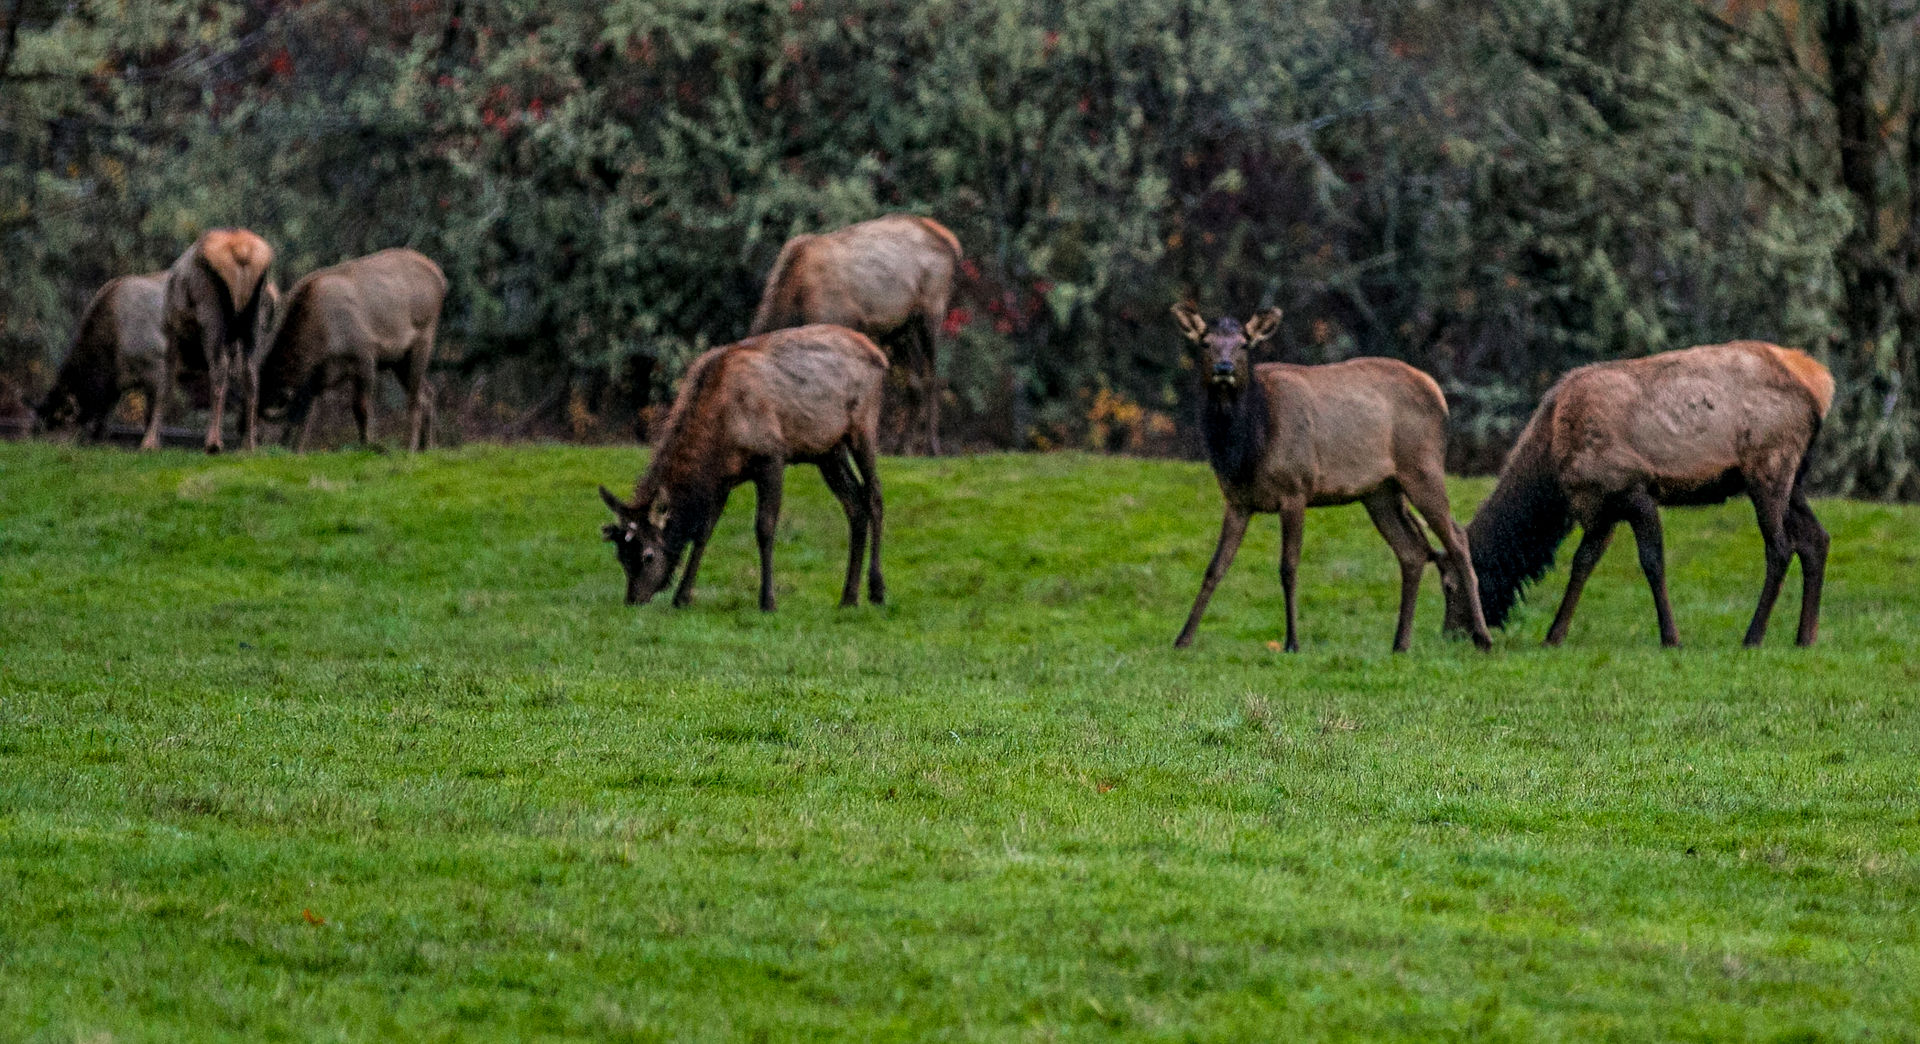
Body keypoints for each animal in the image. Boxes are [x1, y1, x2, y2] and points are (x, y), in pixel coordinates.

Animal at [254, 248, 446, 452]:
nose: (257, 442)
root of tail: (441, 279)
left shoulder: (365, 356)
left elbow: (360, 408)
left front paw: (368, 443)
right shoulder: (317, 379)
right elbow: (307, 418)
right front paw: (298, 451)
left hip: (422, 342)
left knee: (415, 399)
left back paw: (411, 447)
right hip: (399, 362)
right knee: (428, 392)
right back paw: (429, 446)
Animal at [598, 324, 888, 612]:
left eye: (647, 555)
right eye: (620, 556)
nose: (633, 599)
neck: (720, 435)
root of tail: (879, 354)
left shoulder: (772, 457)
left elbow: (765, 528)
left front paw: (768, 600)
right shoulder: (722, 479)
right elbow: (703, 532)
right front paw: (682, 597)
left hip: (863, 426)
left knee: (874, 496)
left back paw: (877, 590)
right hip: (828, 451)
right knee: (855, 506)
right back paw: (848, 597)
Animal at [748, 214, 962, 455]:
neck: (795, 300)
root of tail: (952, 242)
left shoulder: (843, 322)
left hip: (932, 309)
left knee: (932, 377)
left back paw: (932, 446)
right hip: (901, 327)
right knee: (914, 381)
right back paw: (903, 446)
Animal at [1171, 303, 1492, 653]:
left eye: (1244, 344)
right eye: (1205, 343)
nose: (1224, 367)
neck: (1249, 447)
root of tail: (1437, 391)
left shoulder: (1295, 488)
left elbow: (1288, 567)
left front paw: (1292, 642)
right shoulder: (1237, 501)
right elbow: (1215, 567)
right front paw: (1183, 638)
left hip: (1423, 467)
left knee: (1457, 540)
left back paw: (1482, 637)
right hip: (1379, 492)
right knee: (1413, 551)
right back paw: (1400, 643)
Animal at [1468, 341, 1834, 648]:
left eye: (1466, 581)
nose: (1469, 634)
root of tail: (1820, 384)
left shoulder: (1631, 488)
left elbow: (1652, 562)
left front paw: (1671, 638)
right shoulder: (1601, 508)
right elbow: (1582, 562)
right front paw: (1553, 636)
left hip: (1768, 464)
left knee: (1781, 547)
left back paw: (1753, 637)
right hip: (1791, 479)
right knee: (1816, 538)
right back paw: (1805, 637)